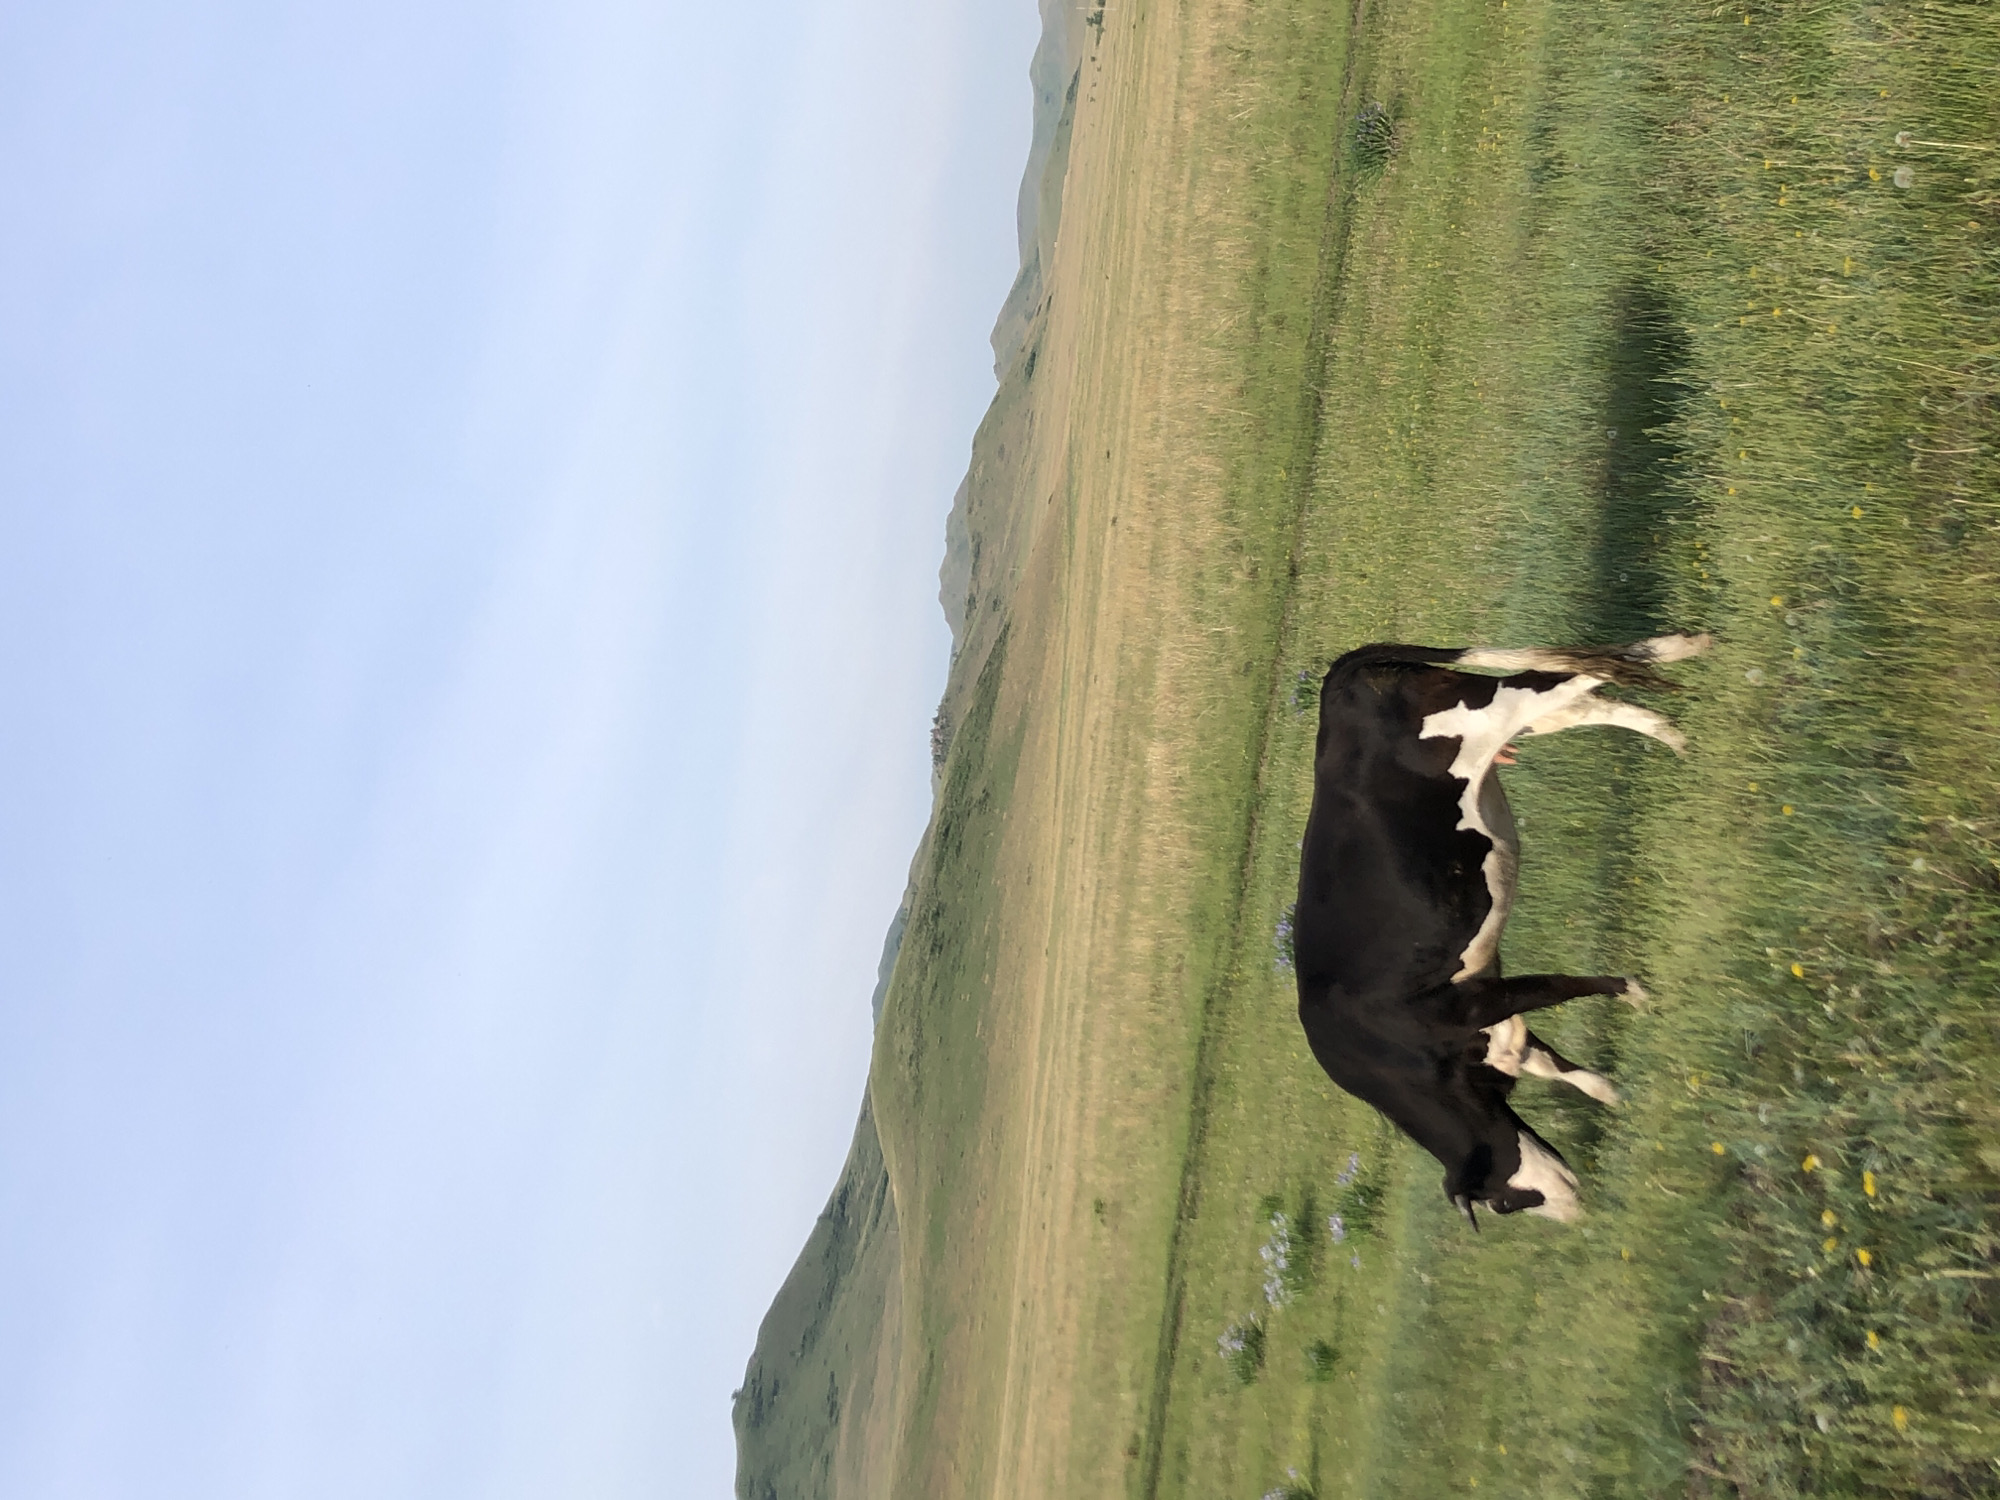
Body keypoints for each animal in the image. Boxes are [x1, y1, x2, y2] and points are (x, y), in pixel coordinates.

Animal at [1293, 633, 1710, 1227]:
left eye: (1506, 1203)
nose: (1577, 1217)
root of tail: (1340, 677)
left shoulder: (1476, 1002)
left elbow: (1562, 986)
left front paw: (1638, 995)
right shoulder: (1494, 1024)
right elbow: (1568, 1072)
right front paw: (1621, 1099)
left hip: (1488, 714)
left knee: (1565, 676)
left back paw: (1677, 648)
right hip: (1506, 725)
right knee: (1581, 700)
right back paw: (1672, 735)